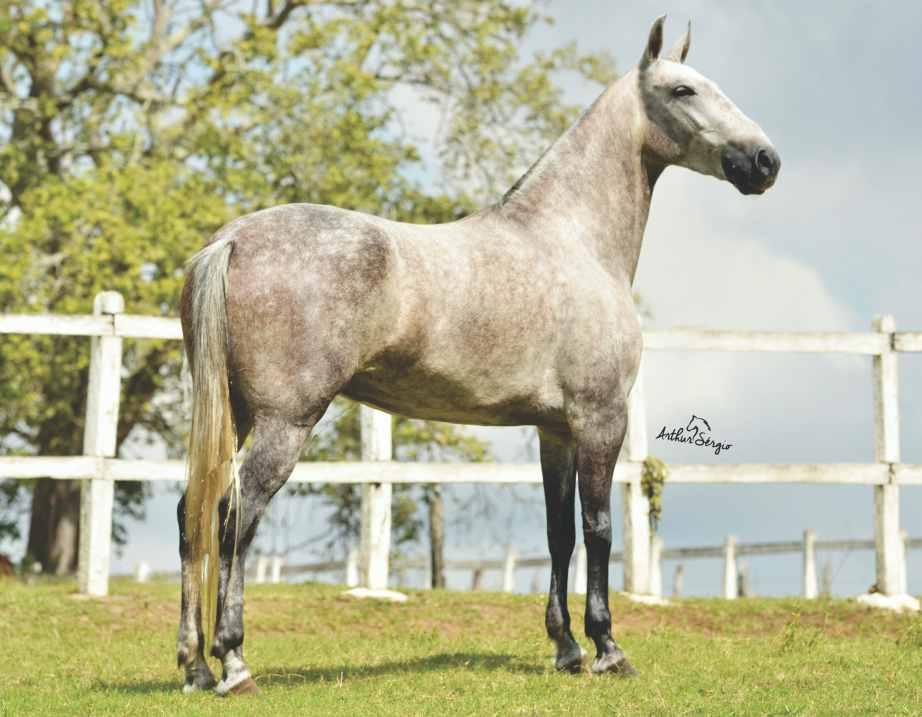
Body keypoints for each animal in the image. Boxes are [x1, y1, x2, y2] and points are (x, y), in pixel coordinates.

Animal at [174, 18, 776, 692]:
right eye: (682, 90)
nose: (764, 161)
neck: (572, 239)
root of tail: (232, 240)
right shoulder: (600, 420)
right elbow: (598, 529)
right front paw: (607, 647)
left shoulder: (554, 431)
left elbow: (559, 532)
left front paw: (566, 648)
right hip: (285, 422)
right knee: (235, 514)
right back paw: (233, 661)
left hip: (234, 413)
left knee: (192, 515)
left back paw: (194, 665)